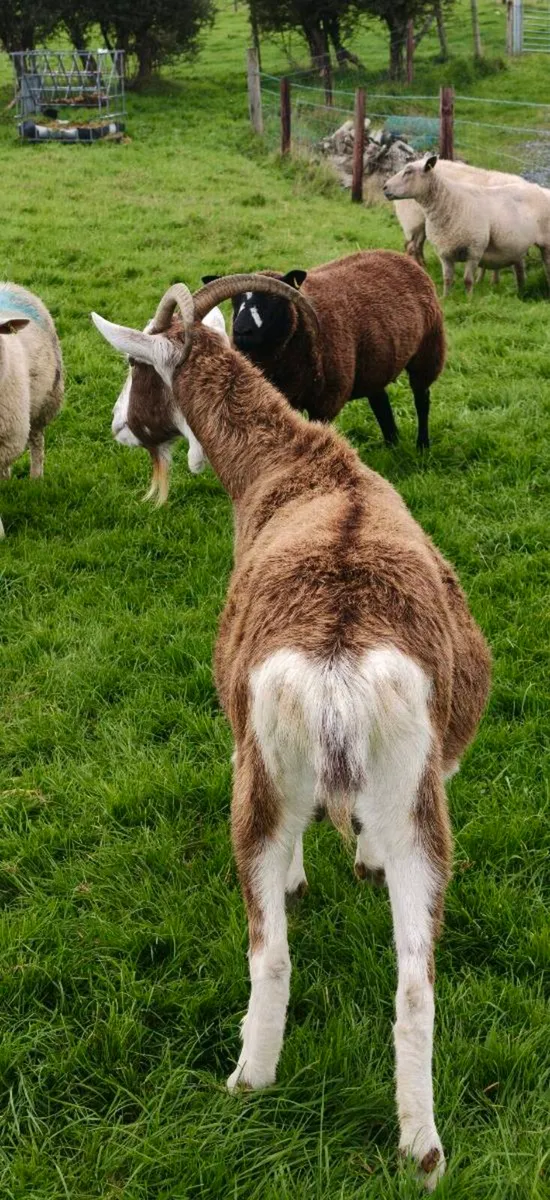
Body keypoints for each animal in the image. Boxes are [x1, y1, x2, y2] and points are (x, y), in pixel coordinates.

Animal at [92, 273, 490, 1189]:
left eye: (137, 370)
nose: (120, 428)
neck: (299, 467)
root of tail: (338, 664)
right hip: (417, 802)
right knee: (415, 983)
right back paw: (422, 1148)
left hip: (262, 772)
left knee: (269, 950)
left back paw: (249, 1078)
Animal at [203, 250, 446, 450]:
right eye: (235, 300)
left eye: (275, 299)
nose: (242, 331)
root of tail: (401, 256)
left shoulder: (328, 399)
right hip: (374, 361)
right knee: (380, 400)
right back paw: (391, 443)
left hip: (428, 350)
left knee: (422, 399)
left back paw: (422, 446)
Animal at [384, 154, 550, 295]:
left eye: (408, 172)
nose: (385, 187)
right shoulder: (447, 251)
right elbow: (449, 278)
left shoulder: (478, 248)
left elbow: (470, 277)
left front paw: (475, 294)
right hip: (415, 221)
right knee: (412, 247)